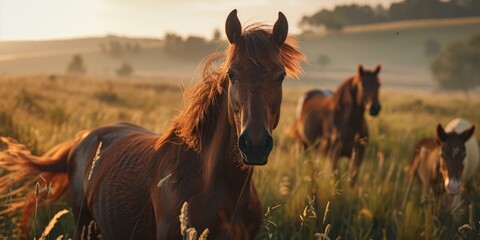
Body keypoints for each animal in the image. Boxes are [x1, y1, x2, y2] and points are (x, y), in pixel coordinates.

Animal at [0, 9, 306, 240]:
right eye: (232, 74)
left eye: (280, 76)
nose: (254, 145)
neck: (216, 184)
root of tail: (82, 140)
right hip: (84, 225)